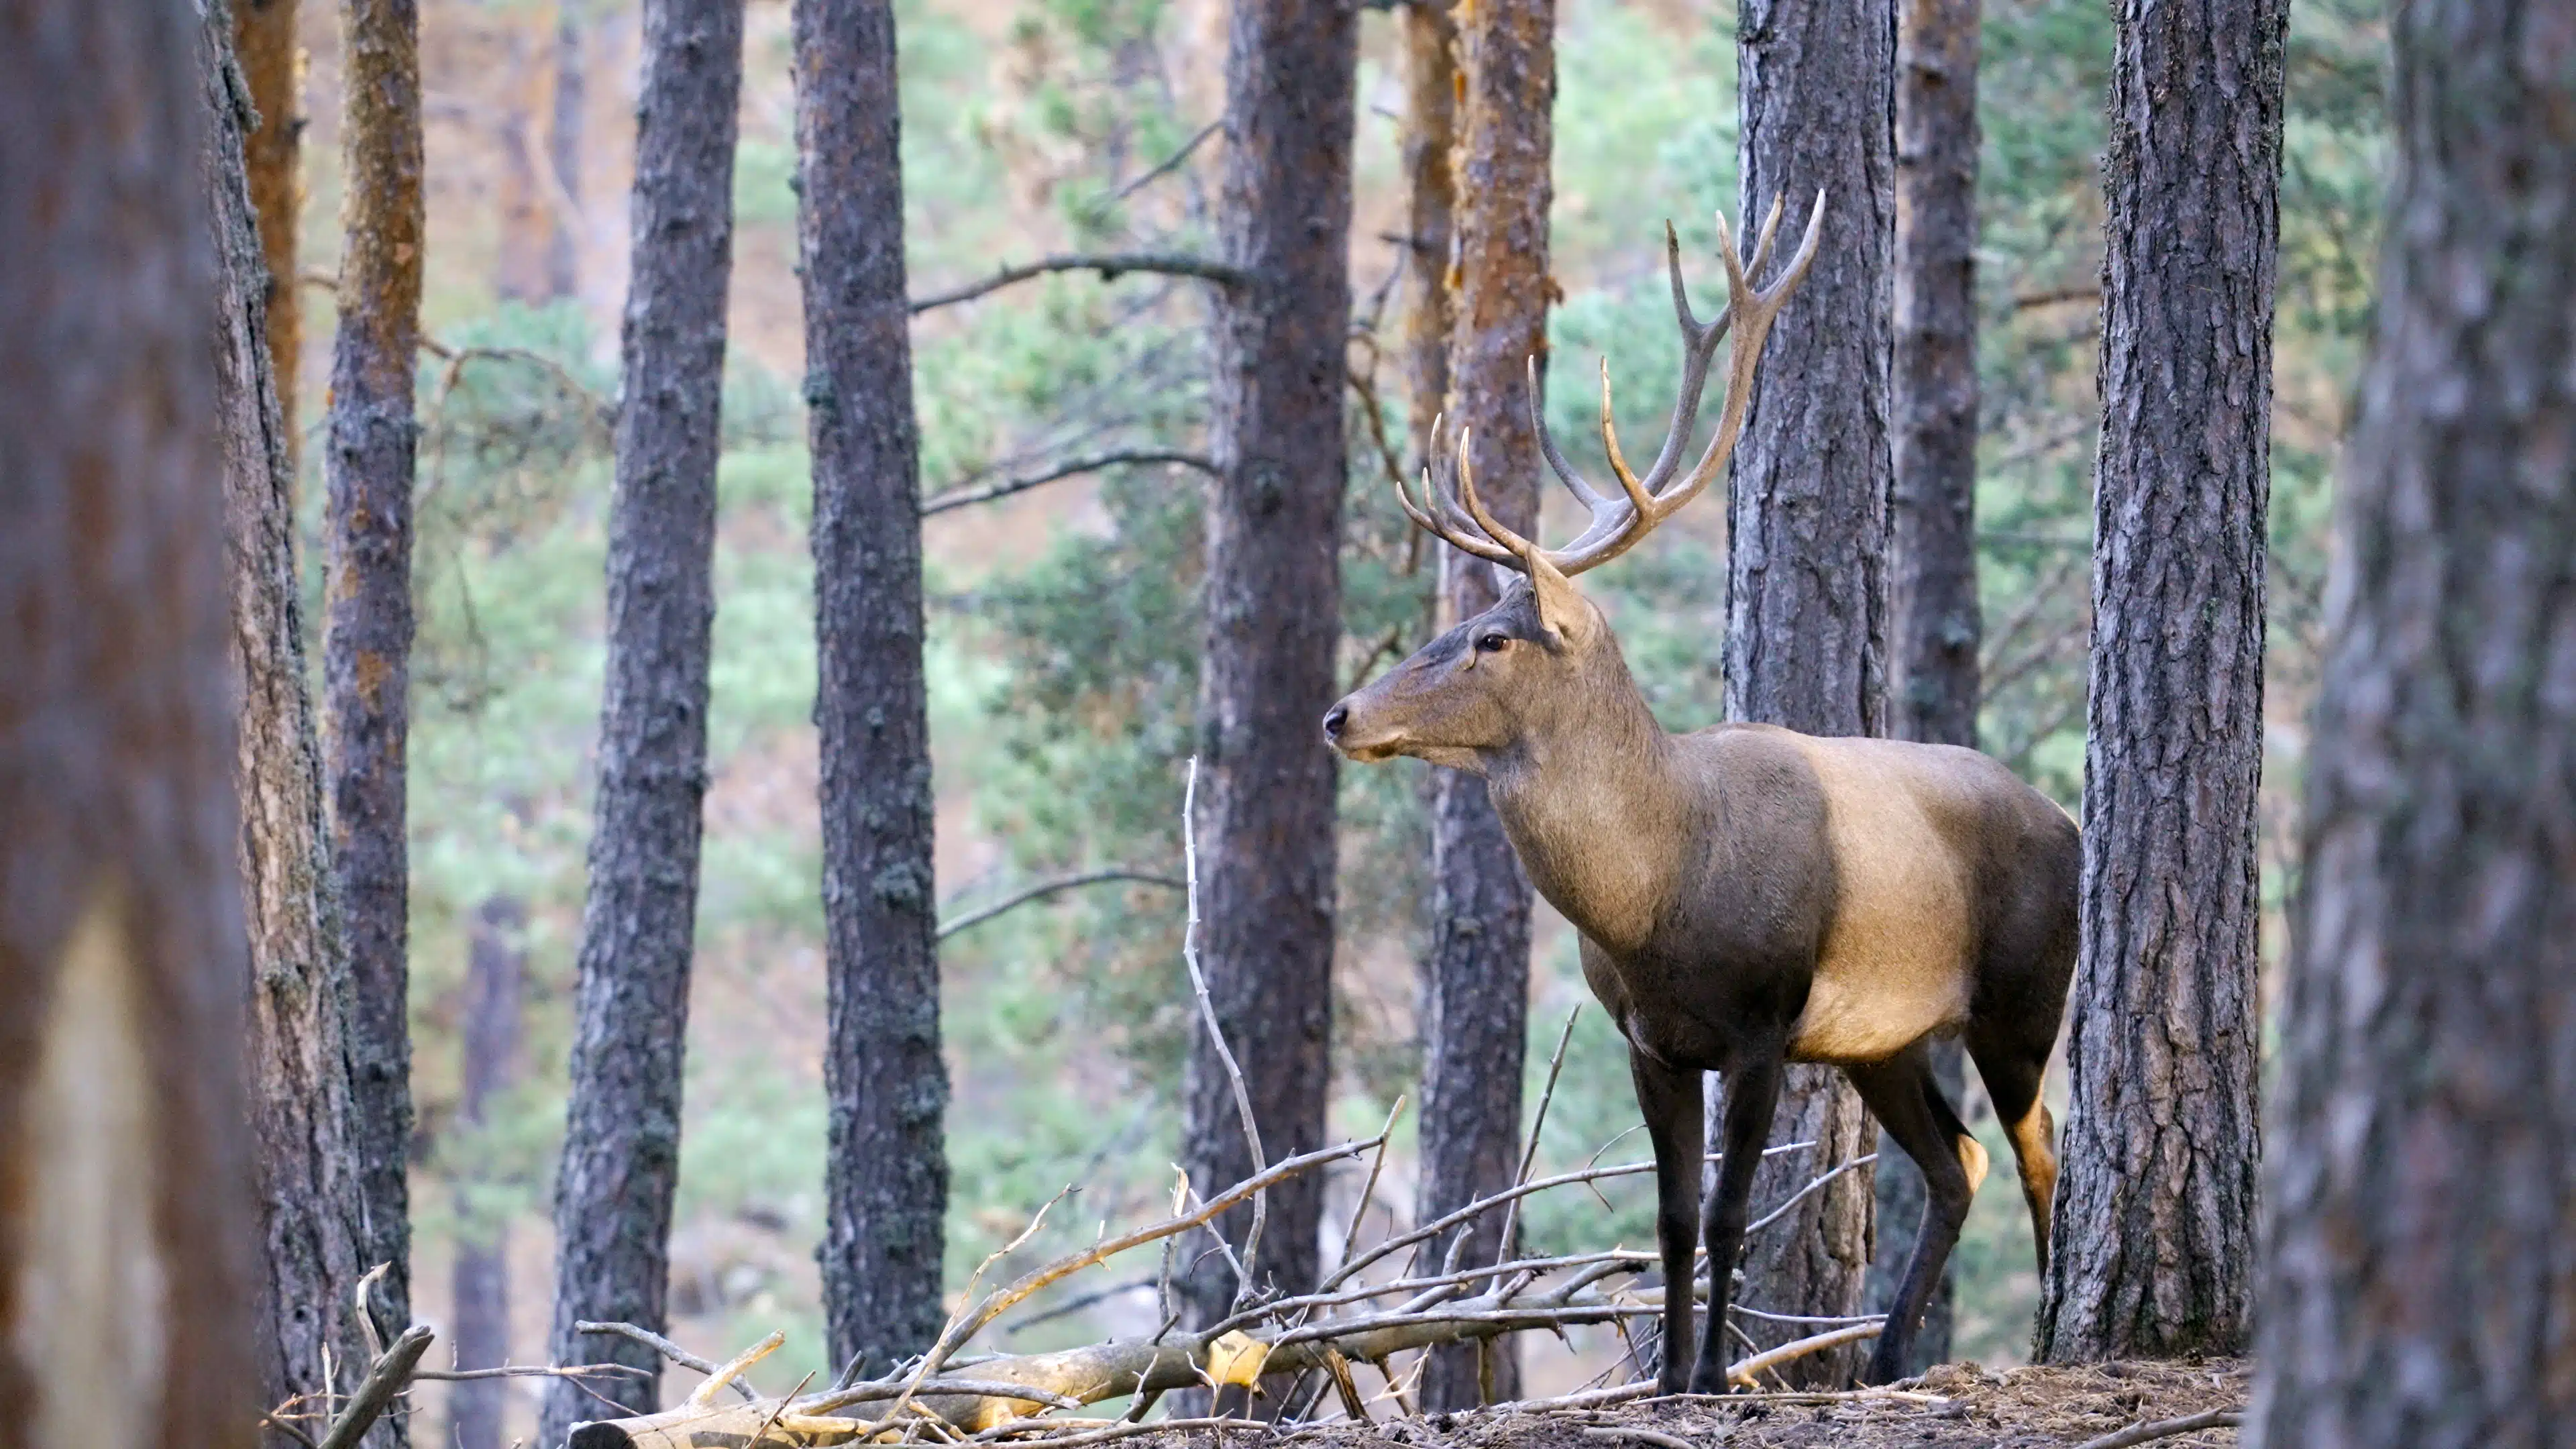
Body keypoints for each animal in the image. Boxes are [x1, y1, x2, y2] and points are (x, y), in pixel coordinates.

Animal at [1320, 193, 2078, 1391]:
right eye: (1459, 623)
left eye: (1493, 638)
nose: (1341, 715)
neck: (1656, 899)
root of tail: (2074, 824)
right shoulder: (1649, 1040)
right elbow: (1672, 1220)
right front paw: (1673, 1373)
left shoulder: (1766, 1020)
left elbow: (1727, 1217)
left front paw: (1717, 1375)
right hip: (1888, 1040)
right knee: (1958, 1161)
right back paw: (1886, 1356)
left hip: (2021, 993)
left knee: (2039, 1145)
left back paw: (2051, 1336)